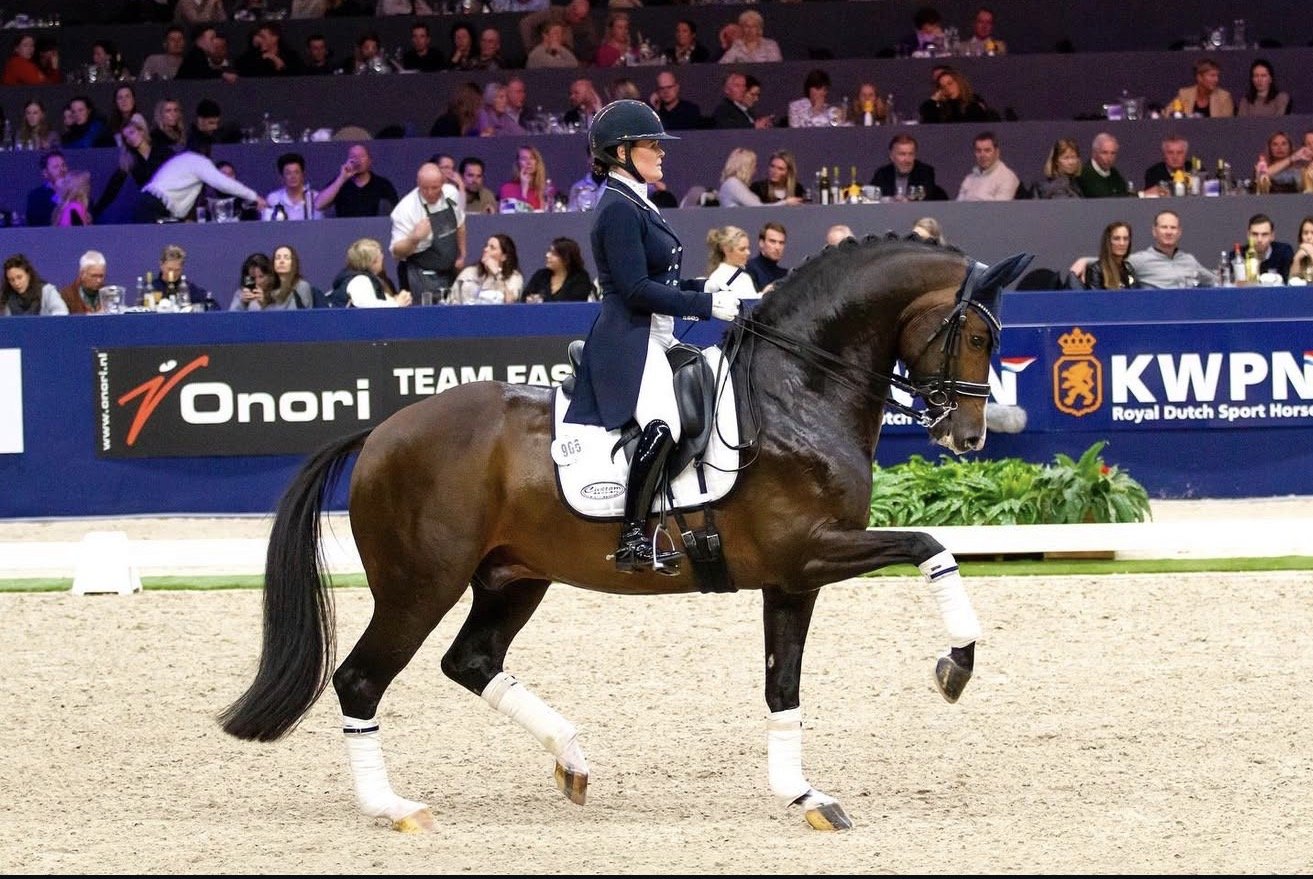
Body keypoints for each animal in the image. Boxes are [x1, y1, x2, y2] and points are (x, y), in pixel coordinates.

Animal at [219, 236, 1033, 833]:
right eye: (973, 333)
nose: (964, 436)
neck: (796, 393)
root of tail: (382, 430)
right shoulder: (811, 551)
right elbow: (931, 546)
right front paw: (955, 665)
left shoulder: (792, 576)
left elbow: (783, 685)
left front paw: (803, 795)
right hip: (420, 585)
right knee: (360, 679)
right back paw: (393, 808)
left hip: (513, 577)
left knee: (472, 660)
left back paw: (573, 761)